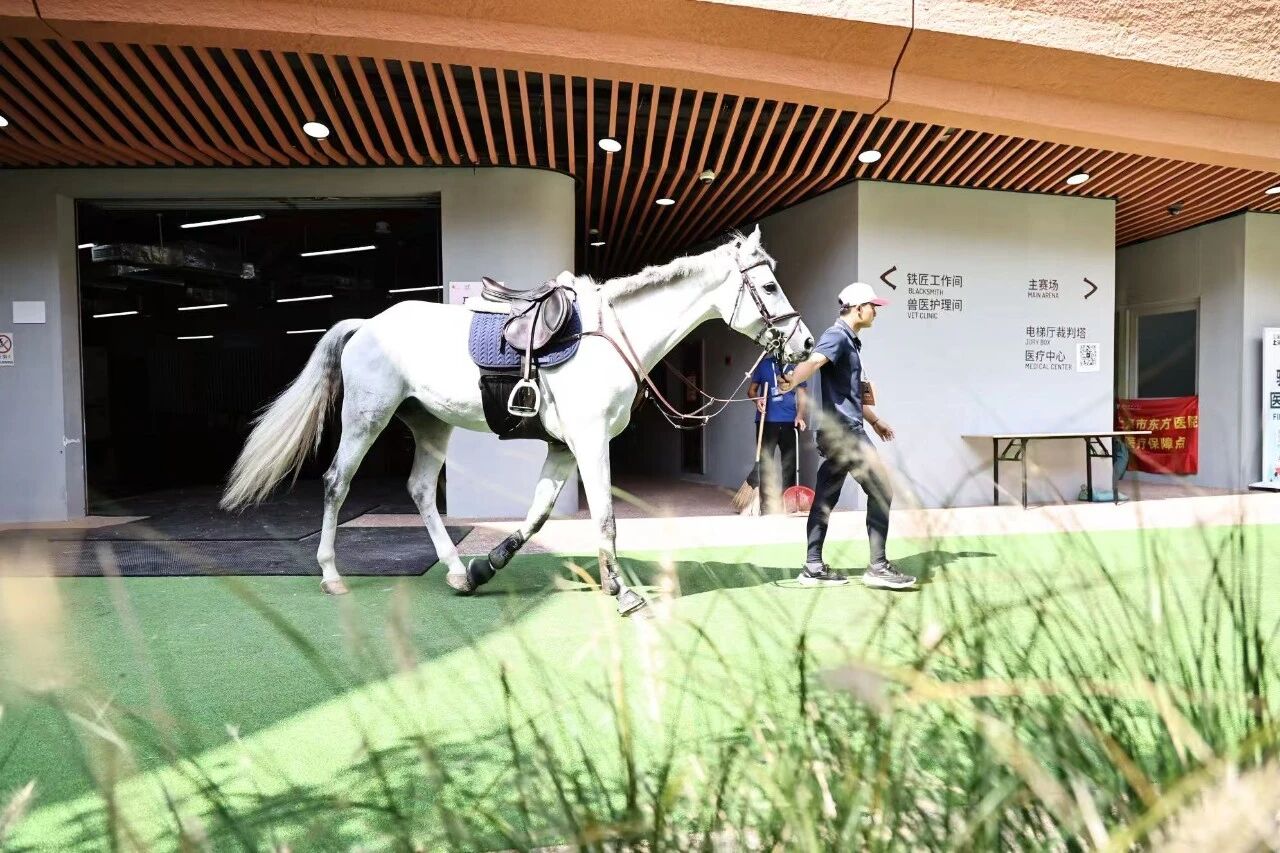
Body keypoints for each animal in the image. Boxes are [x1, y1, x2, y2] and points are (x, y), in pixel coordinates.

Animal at [220, 226, 814, 616]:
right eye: (769, 286)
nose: (805, 343)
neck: (608, 338)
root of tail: (366, 324)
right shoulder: (590, 442)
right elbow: (604, 519)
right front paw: (623, 593)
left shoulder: (562, 447)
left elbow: (537, 516)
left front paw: (487, 566)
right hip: (368, 418)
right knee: (336, 484)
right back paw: (331, 575)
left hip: (429, 424)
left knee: (419, 490)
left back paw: (456, 571)